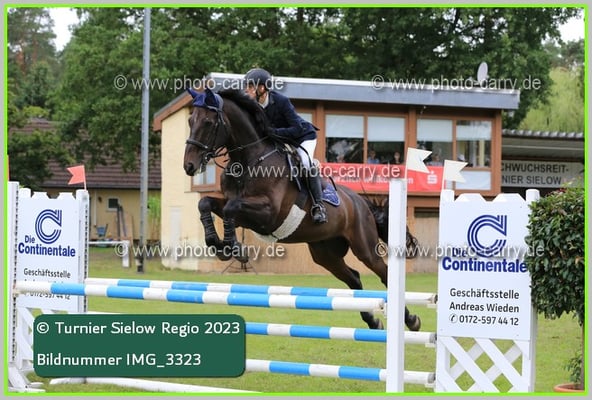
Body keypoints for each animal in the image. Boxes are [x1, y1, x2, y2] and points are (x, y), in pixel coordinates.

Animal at [183, 87, 421, 331]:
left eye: (208, 122)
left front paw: (234, 249)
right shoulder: (241, 213)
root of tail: (361, 202)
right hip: (324, 253)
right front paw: (218, 244)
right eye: (190, 121)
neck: (248, 160)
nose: (189, 166)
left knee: (382, 273)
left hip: (364, 246)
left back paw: (411, 320)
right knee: (353, 277)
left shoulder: (268, 214)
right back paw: (373, 321)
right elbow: (206, 203)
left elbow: (231, 208)